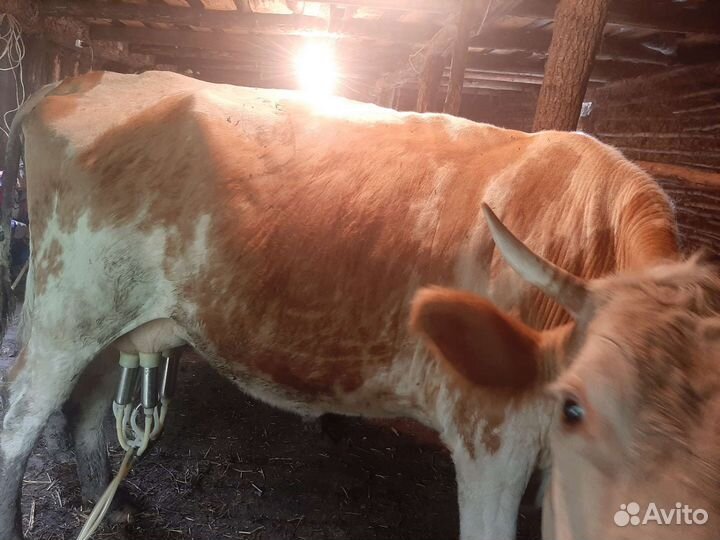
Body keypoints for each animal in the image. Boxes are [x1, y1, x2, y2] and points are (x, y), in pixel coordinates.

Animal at [0, 70, 679, 540]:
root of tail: (75, 82)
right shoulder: (490, 432)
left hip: (110, 318)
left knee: (86, 408)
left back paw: (111, 506)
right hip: (65, 308)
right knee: (18, 424)